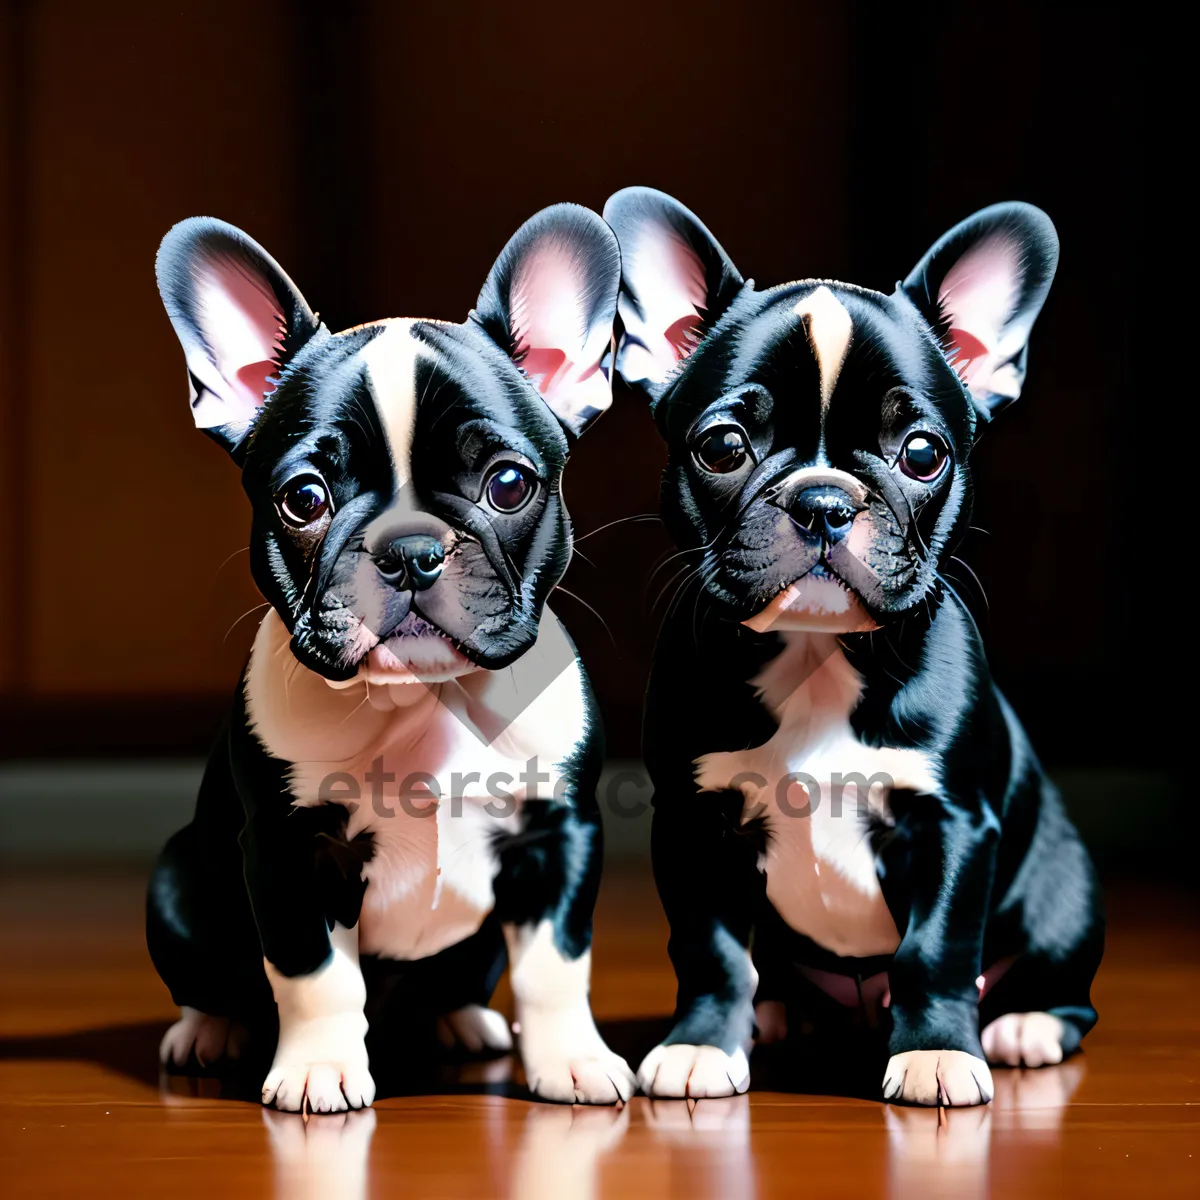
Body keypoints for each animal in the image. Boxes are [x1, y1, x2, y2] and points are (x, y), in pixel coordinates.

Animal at [146, 201, 638, 1108]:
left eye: (508, 484)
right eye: (304, 499)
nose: (410, 550)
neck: (426, 699)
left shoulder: (557, 837)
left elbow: (555, 968)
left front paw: (572, 1061)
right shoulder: (291, 853)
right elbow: (315, 977)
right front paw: (318, 1069)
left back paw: (461, 1022)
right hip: (175, 879)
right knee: (215, 983)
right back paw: (210, 1033)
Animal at [604, 184, 1099, 1104]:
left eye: (923, 453)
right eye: (723, 446)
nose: (825, 501)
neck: (817, 651)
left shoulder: (951, 824)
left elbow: (936, 950)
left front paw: (937, 1052)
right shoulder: (692, 821)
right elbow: (711, 950)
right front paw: (701, 1045)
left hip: (1066, 895)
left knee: (1058, 982)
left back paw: (1024, 1027)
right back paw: (770, 1017)